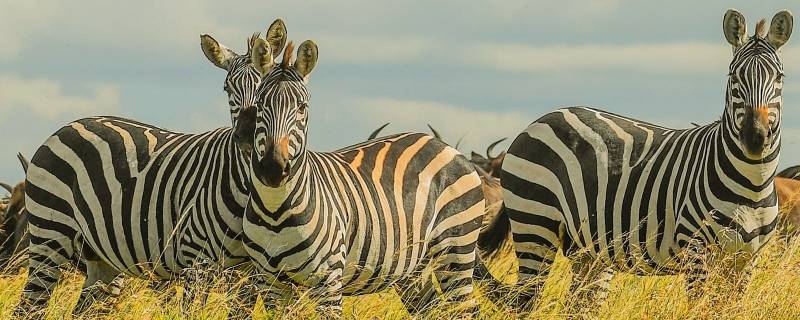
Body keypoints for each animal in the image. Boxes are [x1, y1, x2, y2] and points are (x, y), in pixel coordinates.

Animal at [14, 20, 288, 320]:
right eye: (227, 89)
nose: (246, 135)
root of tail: (69, 125)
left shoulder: (251, 272)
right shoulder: (196, 258)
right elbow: (190, 311)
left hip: (102, 258)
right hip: (50, 234)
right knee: (29, 305)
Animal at [241, 38, 484, 316]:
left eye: (302, 107)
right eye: (260, 105)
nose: (273, 168)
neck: (275, 211)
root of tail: (443, 145)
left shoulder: (328, 280)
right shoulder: (270, 283)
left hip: (457, 247)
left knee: (465, 307)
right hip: (415, 266)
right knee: (430, 307)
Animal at [476, 8, 792, 312]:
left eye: (779, 78)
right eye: (733, 77)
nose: (754, 137)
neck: (752, 186)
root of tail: (541, 119)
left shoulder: (745, 259)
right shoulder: (696, 251)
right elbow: (703, 309)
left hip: (589, 250)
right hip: (535, 223)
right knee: (525, 301)